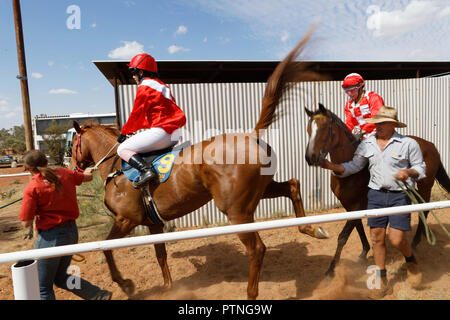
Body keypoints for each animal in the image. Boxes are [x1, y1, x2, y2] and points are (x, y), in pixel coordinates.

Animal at [69, 33, 326, 300]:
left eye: (72, 143)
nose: (74, 167)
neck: (116, 167)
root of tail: (251, 135)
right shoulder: (153, 224)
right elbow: (160, 255)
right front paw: (168, 287)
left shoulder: (125, 220)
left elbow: (106, 250)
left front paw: (125, 284)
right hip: (259, 192)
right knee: (292, 186)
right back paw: (312, 229)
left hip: (237, 212)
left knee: (257, 248)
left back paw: (251, 293)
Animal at [302, 104, 450, 276]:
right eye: (308, 129)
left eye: (325, 128)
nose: (310, 158)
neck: (350, 171)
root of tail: (431, 145)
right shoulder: (350, 207)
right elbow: (359, 228)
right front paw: (363, 253)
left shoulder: (357, 206)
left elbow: (343, 236)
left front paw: (331, 269)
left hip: (426, 186)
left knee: (424, 209)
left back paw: (415, 242)